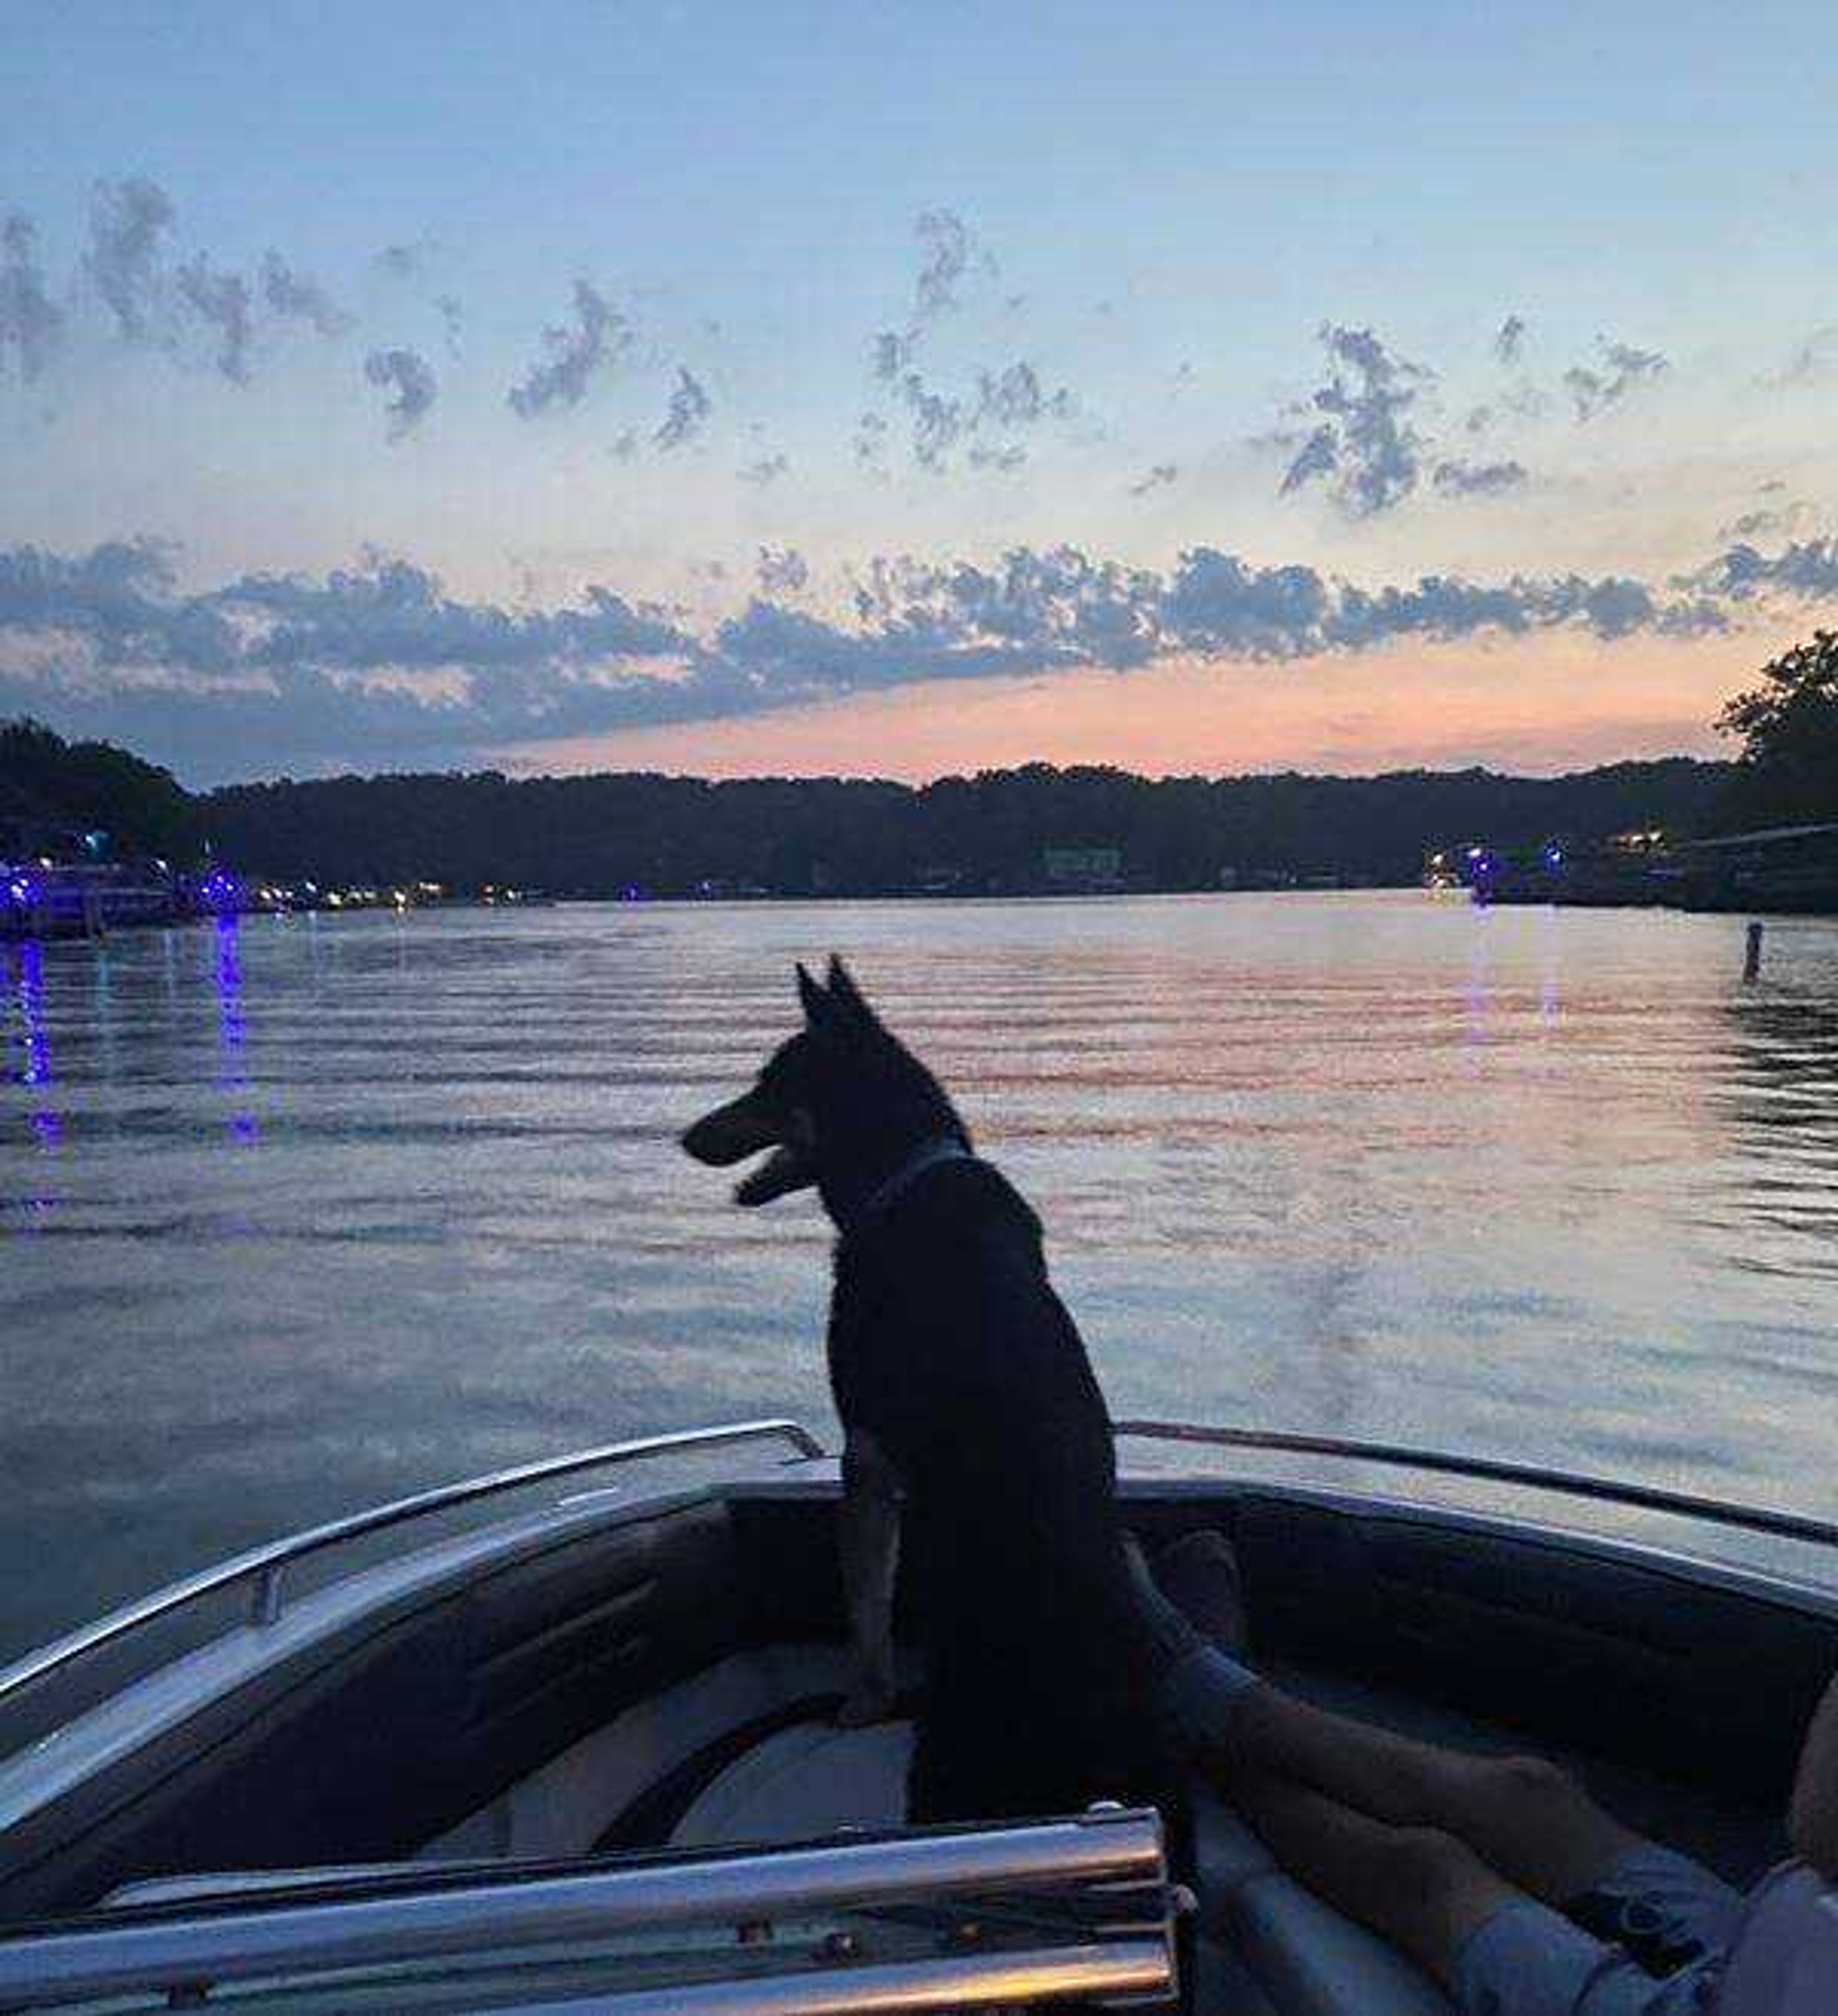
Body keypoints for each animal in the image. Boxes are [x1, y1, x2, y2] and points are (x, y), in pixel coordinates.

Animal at [681, 959, 1153, 1830]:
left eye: (769, 1085)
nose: (686, 1137)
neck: (904, 1173)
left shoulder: (865, 1455)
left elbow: (867, 1608)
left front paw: (862, 1704)